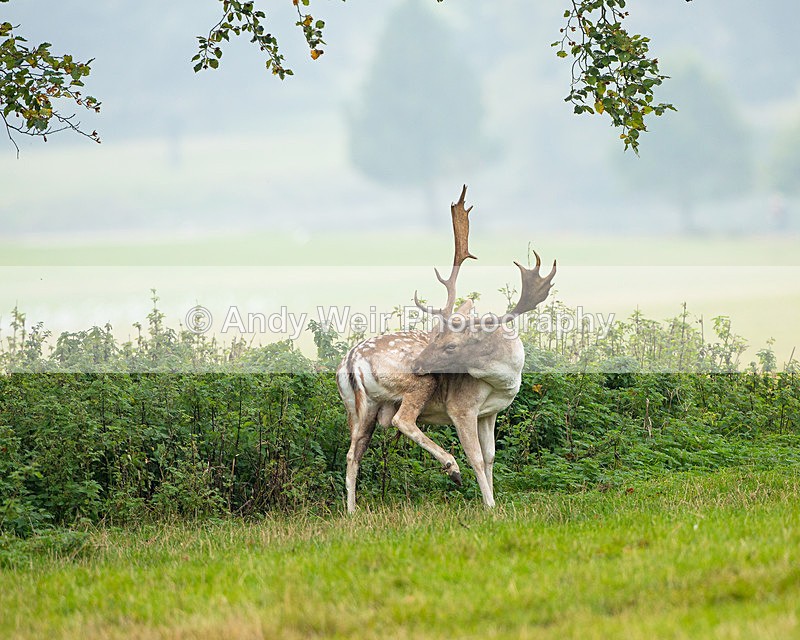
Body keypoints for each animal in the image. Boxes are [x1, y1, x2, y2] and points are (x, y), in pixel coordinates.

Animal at [336, 186, 556, 513]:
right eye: (435, 337)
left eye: (450, 344)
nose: (417, 363)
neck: (504, 378)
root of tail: (352, 359)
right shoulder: (461, 407)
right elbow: (476, 457)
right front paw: (490, 506)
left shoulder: (489, 413)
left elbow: (490, 457)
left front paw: (494, 499)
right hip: (417, 385)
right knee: (402, 420)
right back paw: (452, 468)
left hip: (357, 406)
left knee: (354, 451)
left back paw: (352, 510)